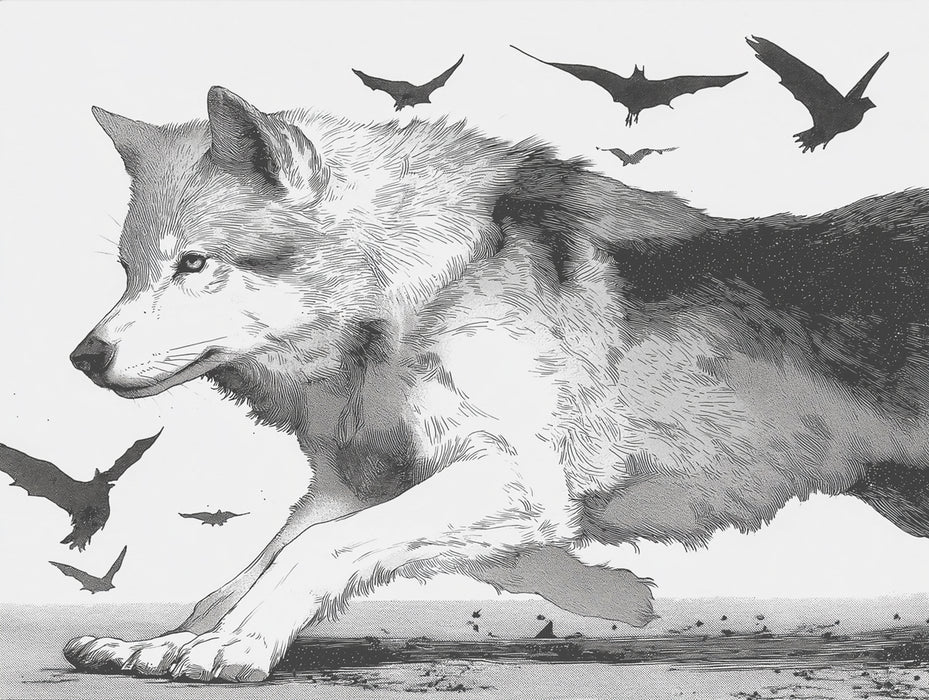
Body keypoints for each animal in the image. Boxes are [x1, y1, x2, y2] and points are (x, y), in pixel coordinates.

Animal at [64, 85, 929, 682]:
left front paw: (235, 646)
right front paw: (176, 642)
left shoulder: (518, 480)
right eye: (128, 269)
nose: (82, 358)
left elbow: (312, 552)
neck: (419, 288)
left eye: (194, 263)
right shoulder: (354, 484)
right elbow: (249, 569)